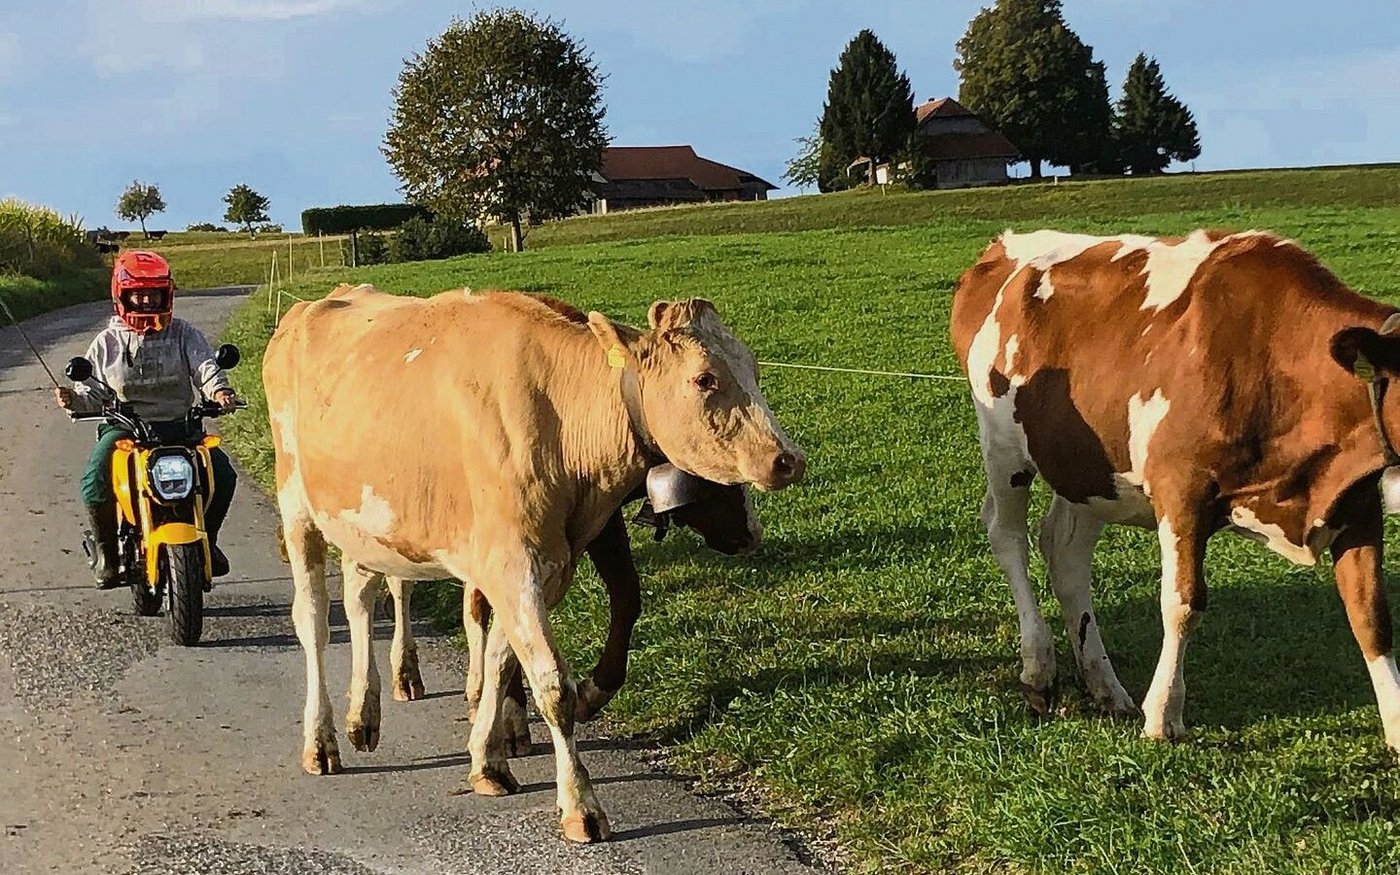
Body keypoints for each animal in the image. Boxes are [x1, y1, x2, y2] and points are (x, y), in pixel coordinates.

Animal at [263, 283, 804, 842]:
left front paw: (489, 761)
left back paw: (363, 715)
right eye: (704, 378)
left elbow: (503, 662)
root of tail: (322, 300)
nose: (789, 460)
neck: (560, 420)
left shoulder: (543, 569)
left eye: (753, 367)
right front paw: (580, 805)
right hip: (297, 506)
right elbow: (552, 685)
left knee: (360, 599)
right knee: (313, 622)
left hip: (367, 522)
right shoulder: (511, 564)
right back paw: (321, 740)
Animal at [950, 228, 1400, 752]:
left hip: (1087, 469)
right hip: (1004, 450)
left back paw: (1105, 686)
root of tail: (1003, 245)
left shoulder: (1357, 501)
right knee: (1008, 538)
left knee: (1064, 550)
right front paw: (1163, 714)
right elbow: (1183, 603)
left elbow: (1371, 614)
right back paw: (1039, 669)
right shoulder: (1181, 492)